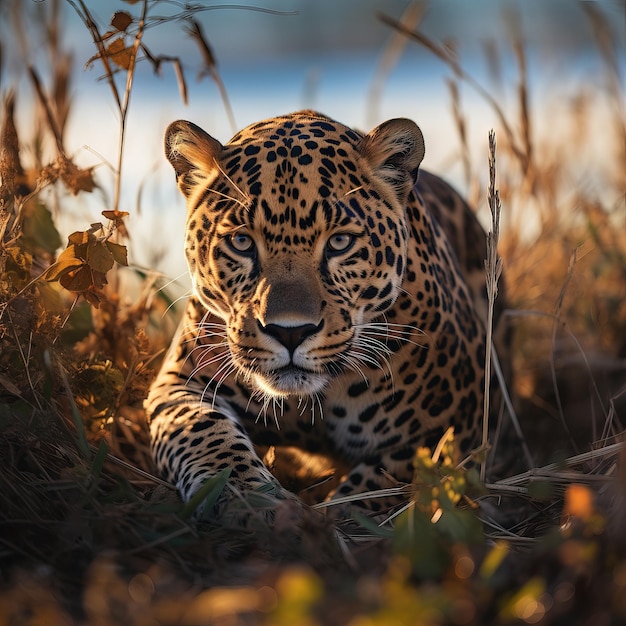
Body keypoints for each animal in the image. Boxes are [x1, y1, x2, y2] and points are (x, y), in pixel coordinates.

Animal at [146, 109, 502, 520]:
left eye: (339, 242)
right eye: (242, 242)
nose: (290, 332)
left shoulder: (456, 423)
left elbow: (382, 487)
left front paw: (330, 520)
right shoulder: (179, 384)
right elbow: (207, 435)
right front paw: (248, 499)